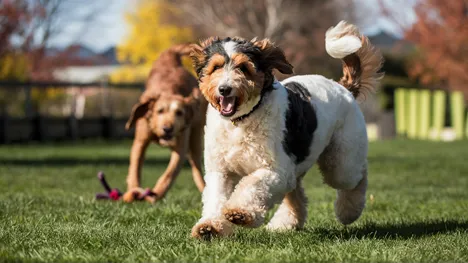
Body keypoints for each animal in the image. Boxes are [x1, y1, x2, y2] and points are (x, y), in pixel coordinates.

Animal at [122, 44, 207, 203]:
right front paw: (133, 190)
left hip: (196, 137)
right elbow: (135, 167)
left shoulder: (181, 146)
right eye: (160, 111)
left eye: (179, 113)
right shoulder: (140, 141)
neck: (168, 91)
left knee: (197, 166)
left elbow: (169, 173)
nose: (167, 129)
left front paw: (157, 193)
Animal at [188, 21, 382, 239]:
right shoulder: (220, 170)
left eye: (244, 67)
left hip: (341, 162)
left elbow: (253, 186)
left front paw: (241, 212)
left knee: (358, 177)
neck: (241, 121)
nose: (224, 89)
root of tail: (344, 88)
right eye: (216, 67)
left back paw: (348, 212)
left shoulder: (275, 169)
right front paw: (209, 227)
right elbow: (216, 198)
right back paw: (284, 223)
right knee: (297, 195)